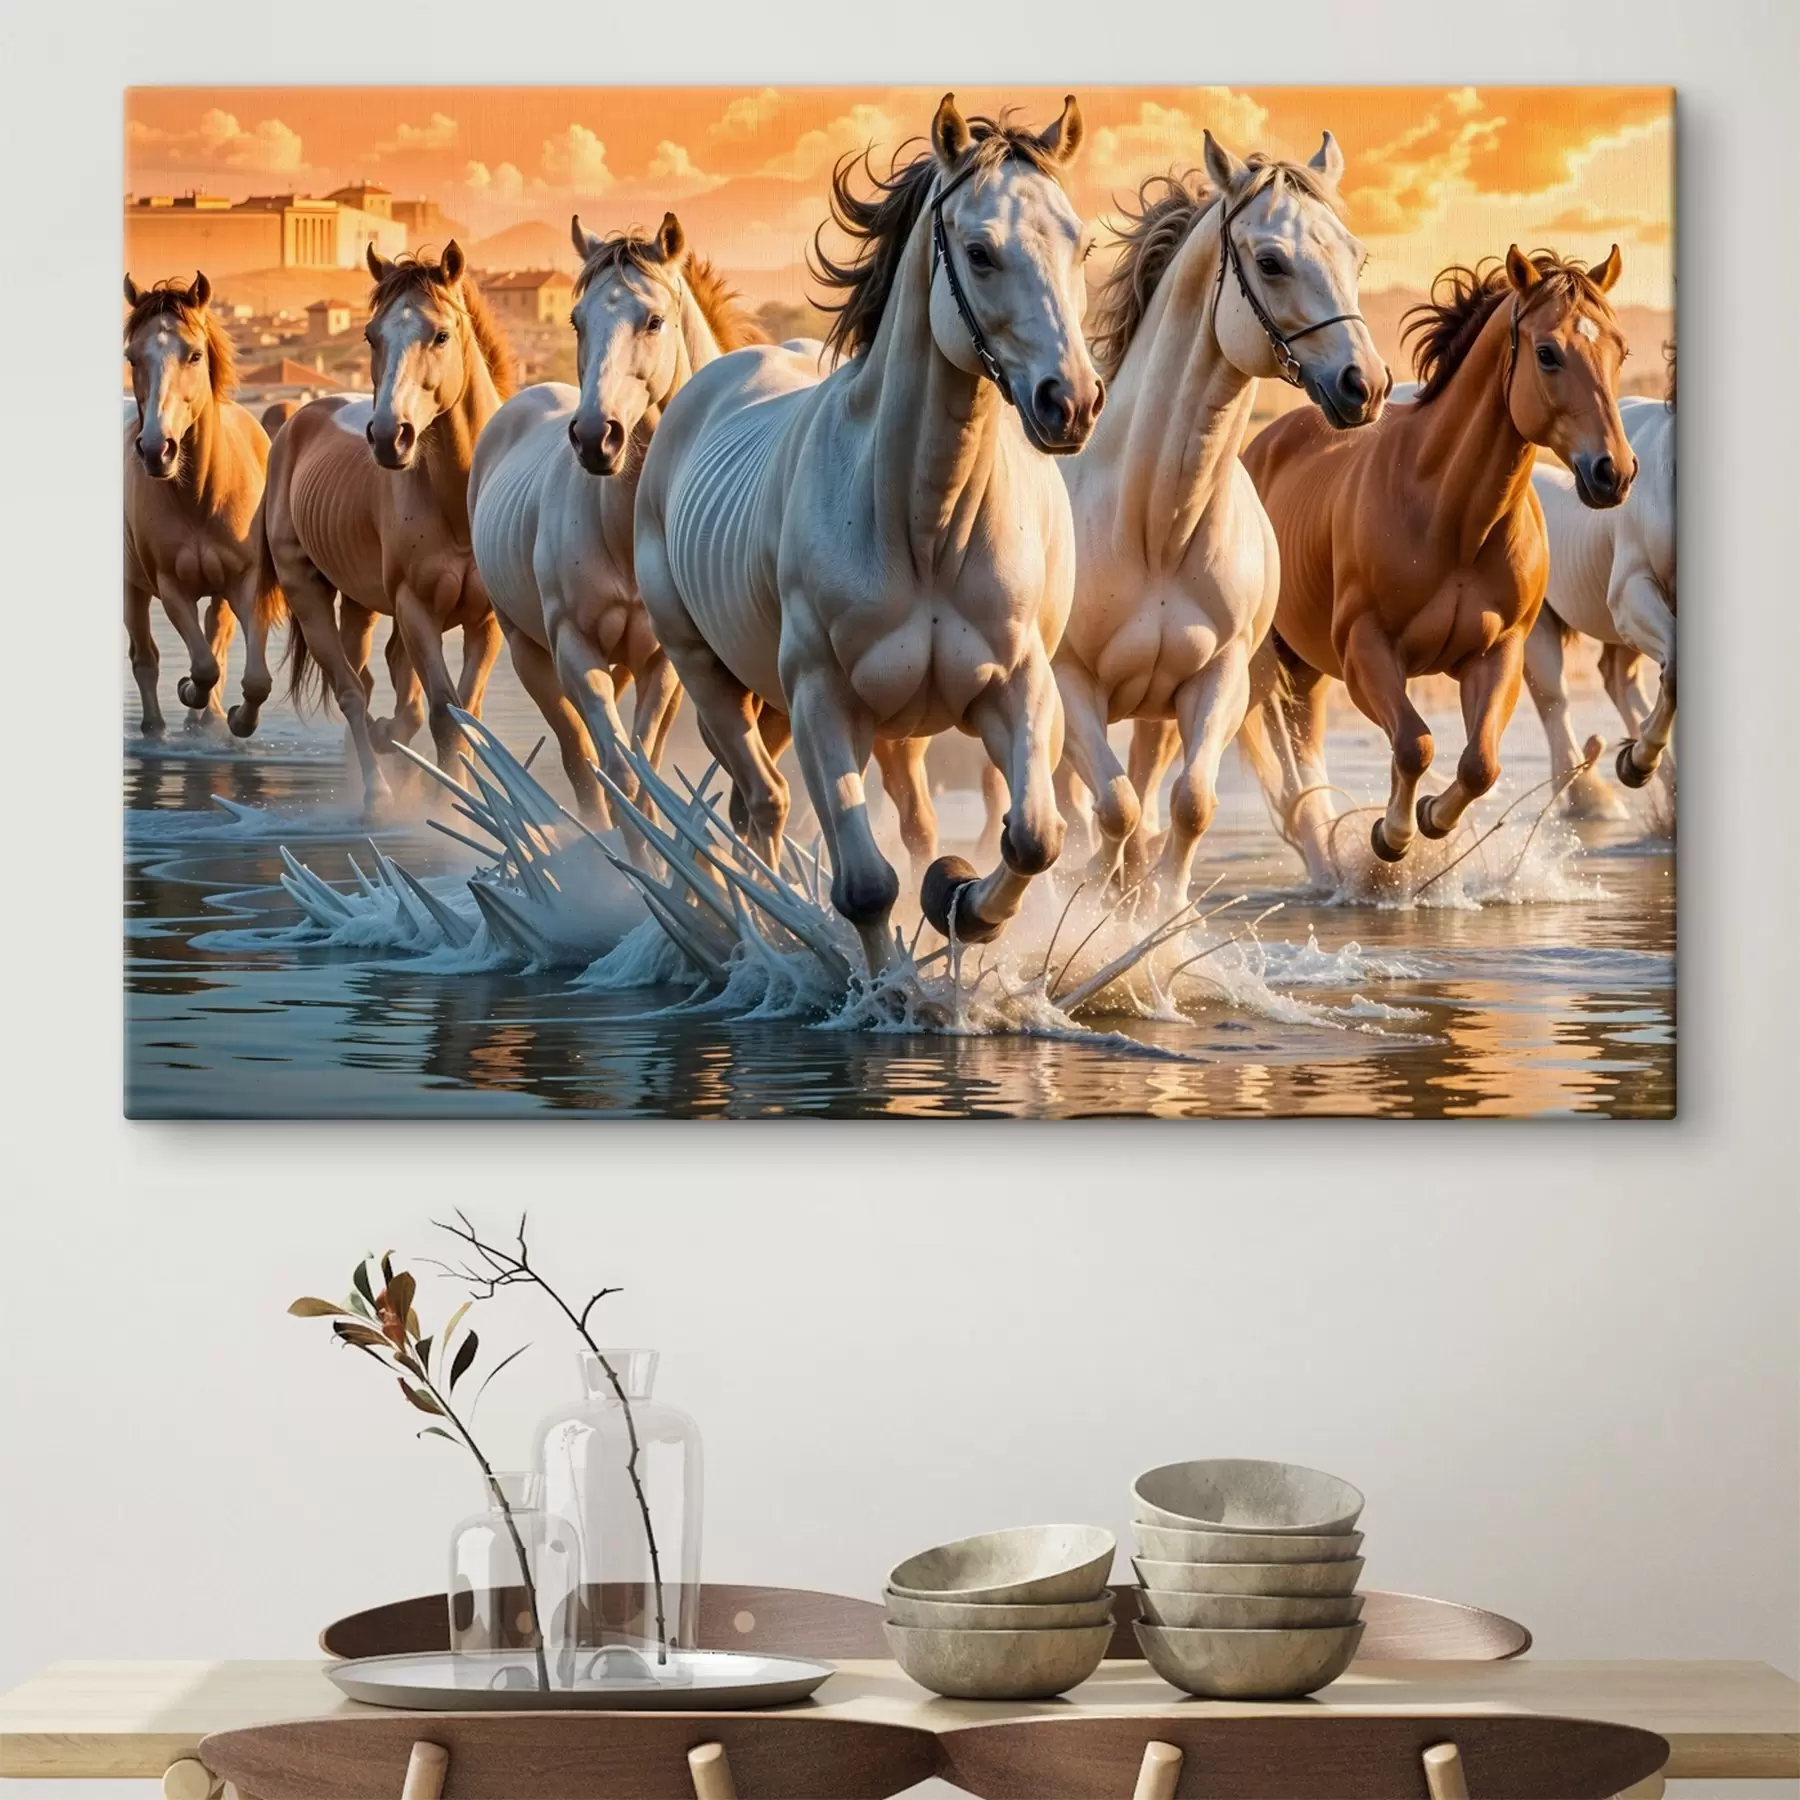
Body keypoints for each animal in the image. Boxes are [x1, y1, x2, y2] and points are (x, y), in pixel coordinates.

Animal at [123, 272, 284, 737]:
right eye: (131, 357)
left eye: (194, 355)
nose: (156, 449)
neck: (201, 497)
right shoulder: (171, 588)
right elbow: (202, 667)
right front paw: (187, 690)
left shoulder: (247, 582)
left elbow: (254, 678)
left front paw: (235, 720)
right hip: (131, 587)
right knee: (145, 658)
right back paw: (157, 728)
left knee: (217, 637)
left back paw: (208, 719)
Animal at [262, 242, 514, 809]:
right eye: (370, 335)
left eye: (441, 334)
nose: (387, 437)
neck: (456, 503)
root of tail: (299, 417)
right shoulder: (416, 609)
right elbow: (442, 714)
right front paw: (449, 808)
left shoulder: (485, 620)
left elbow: (465, 713)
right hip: (310, 594)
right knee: (352, 691)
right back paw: (377, 793)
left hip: (361, 606)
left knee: (374, 678)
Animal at [469, 212, 759, 826]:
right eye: (576, 320)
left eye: (654, 320)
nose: (593, 437)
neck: (626, 531)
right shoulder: (575, 650)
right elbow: (615, 772)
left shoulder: (665, 664)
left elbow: (643, 771)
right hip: (531, 652)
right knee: (580, 760)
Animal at [634, 94, 1103, 973]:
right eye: (980, 251)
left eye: (1079, 241)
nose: (1072, 403)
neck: (926, 524)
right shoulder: (822, 697)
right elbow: (863, 887)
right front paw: (889, 988)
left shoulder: (1019, 684)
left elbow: (1032, 835)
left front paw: (960, 900)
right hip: (709, 674)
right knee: (763, 803)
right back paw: (761, 934)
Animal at [1237, 247, 1636, 884]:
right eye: (1548, 353)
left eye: (1619, 350)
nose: (1613, 473)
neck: (1450, 519)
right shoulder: (1367, 651)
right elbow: (1414, 745)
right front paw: (1391, 837)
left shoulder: (1499, 653)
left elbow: (1480, 764)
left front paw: (1432, 819)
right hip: (1270, 663)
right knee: (1293, 760)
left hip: (1305, 668)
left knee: (1308, 746)